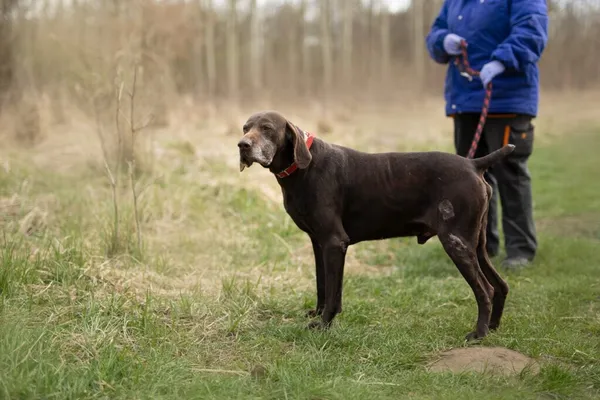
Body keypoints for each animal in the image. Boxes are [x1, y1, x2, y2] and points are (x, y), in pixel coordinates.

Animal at [237, 109, 512, 340]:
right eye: (245, 128)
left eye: (267, 128)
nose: (242, 145)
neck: (303, 168)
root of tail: (474, 164)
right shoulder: (319, 243)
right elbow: (323, 286)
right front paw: (318, 314)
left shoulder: (334, 242)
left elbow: (332, 293)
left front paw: (324, 324)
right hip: (475, 245)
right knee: (501, 285)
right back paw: (493, 327)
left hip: (456, 242)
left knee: (486, 290)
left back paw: (478, 334)